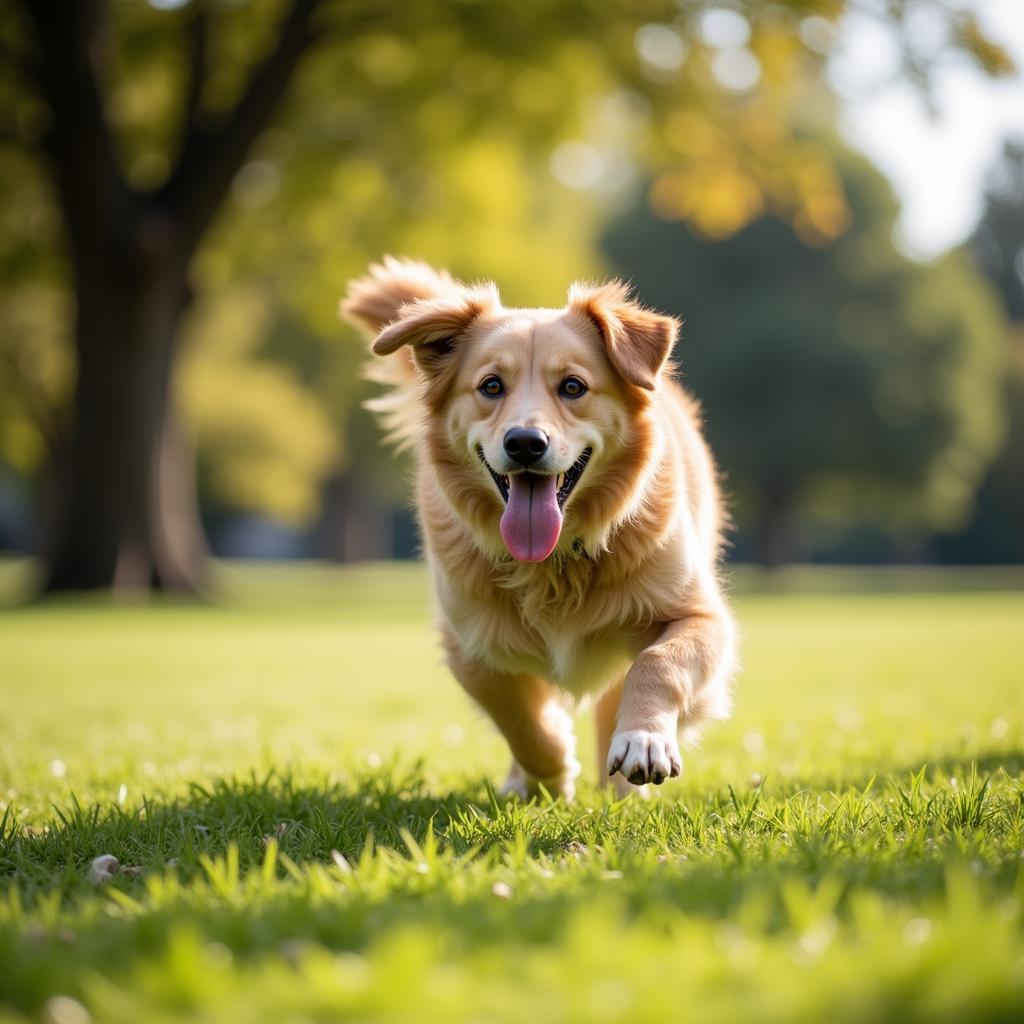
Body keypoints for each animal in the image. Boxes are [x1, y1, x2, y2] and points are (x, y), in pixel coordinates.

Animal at [344, 258, 737, 798]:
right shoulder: (472, 647)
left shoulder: (701, 616)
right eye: (491, 386)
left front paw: (642, 740)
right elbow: (520, 722)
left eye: (573, 386)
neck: (554, 561)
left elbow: (658, 663)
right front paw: (552, 773)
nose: (525, 443)